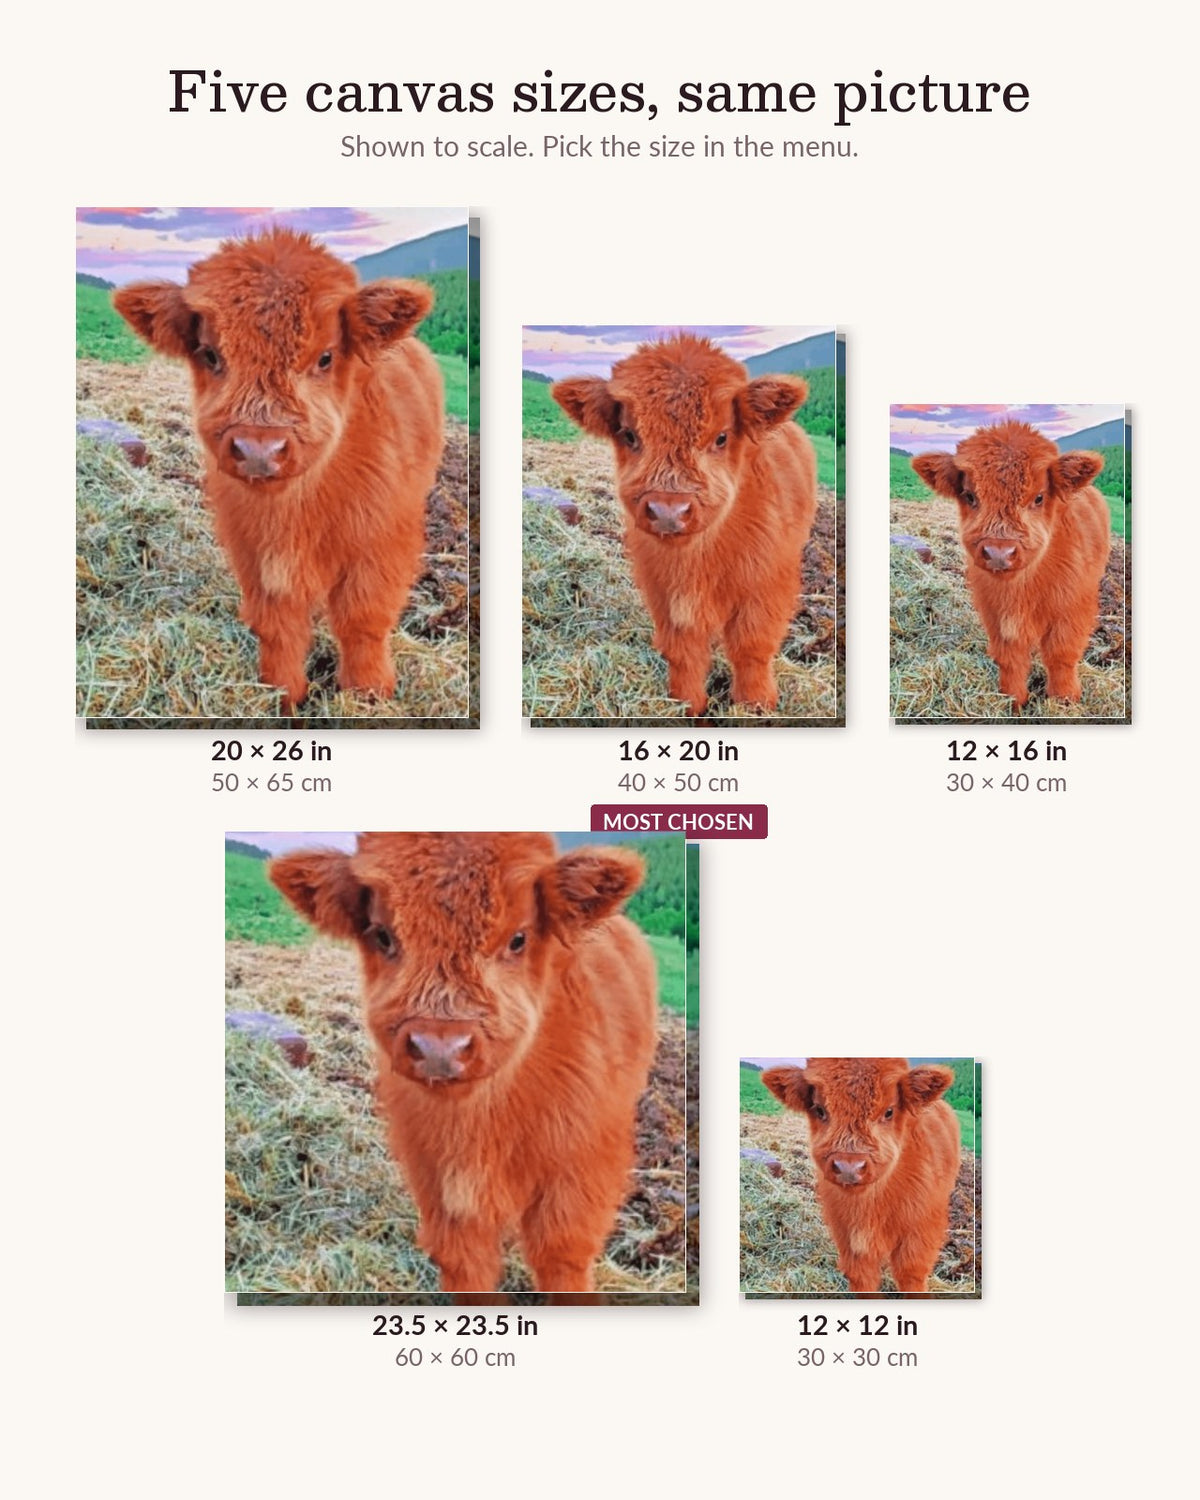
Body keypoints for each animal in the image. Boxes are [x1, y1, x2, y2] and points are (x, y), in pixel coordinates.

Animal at [113, 228, 443, 712]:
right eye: (210, 354)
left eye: (325, 357)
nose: (258, 449)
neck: (296, 511)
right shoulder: (252, 549)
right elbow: (277, 624)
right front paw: (281, 695)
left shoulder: (382, 542)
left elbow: (363, 618)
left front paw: (368, 694)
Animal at [269, 833, 659, 1295]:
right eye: (383, 935)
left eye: (518, 938)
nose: (440, 1048)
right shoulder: (440, 1186)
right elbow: (466, 1265)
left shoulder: (582, 1171)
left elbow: (561, 1258)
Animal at [552, 334, 817, 716]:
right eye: (629, 435)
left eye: (721, 437)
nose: (668, 511)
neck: (699, 560)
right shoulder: (664, 592)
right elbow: (683, 652)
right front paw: (687, 706)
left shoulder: (767, 585)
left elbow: (752, 645)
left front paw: (756, 705)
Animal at [762, 1058, 960, 1296]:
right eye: (819, 1110)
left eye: (889, 1111)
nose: (849, 1167)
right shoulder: (848, 1237)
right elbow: (862, 1278)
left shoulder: (922, 1230)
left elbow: (911, 1274)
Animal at [911, 422, 1109, 708]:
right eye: (969, 496)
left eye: (1039, 497)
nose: (999, 553)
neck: (1021, 589)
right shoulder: (995, 611)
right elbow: (1010, 656)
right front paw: (1012, 699)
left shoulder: (1073, 608)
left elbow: (1061, 653)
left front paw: (1064, 699)